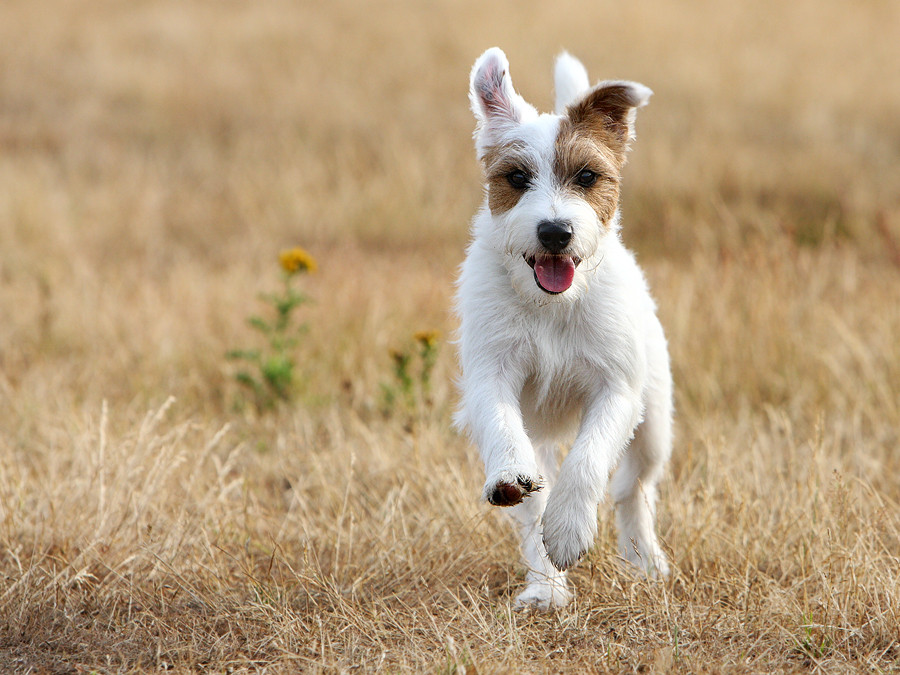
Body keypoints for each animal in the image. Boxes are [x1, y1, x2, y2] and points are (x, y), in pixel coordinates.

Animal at [454, 46, 672, 608]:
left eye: (588, 177)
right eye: (516, 178)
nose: (555, 232)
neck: (551, 306)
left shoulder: (617, 390)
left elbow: (590, 458)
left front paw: (571, 529)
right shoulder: (491, 377)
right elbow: (505, 435)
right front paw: (513, 482)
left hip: (654, 424)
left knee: (632, 488)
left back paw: (644, 560)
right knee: (536, 503)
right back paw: (546, 587)